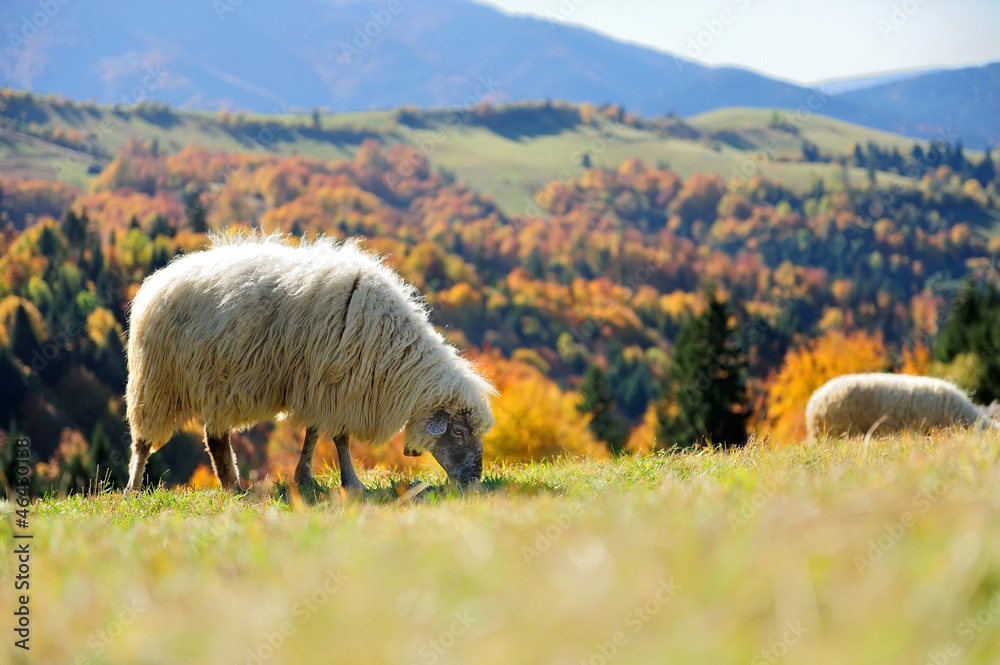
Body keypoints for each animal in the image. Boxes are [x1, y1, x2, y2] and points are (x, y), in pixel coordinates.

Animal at [124, 234, 497, 493]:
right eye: (459, 431)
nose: (474, 480)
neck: (395, 351)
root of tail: (158, 280)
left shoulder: (325, 387)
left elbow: (315, 434)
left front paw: (305, 478)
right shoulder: (334, 385)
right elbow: (339, 438)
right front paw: (351, 483)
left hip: (216, 382)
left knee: (215, 436)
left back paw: (233, 486)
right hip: (156, 381)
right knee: (143, 440)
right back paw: (134, 488)